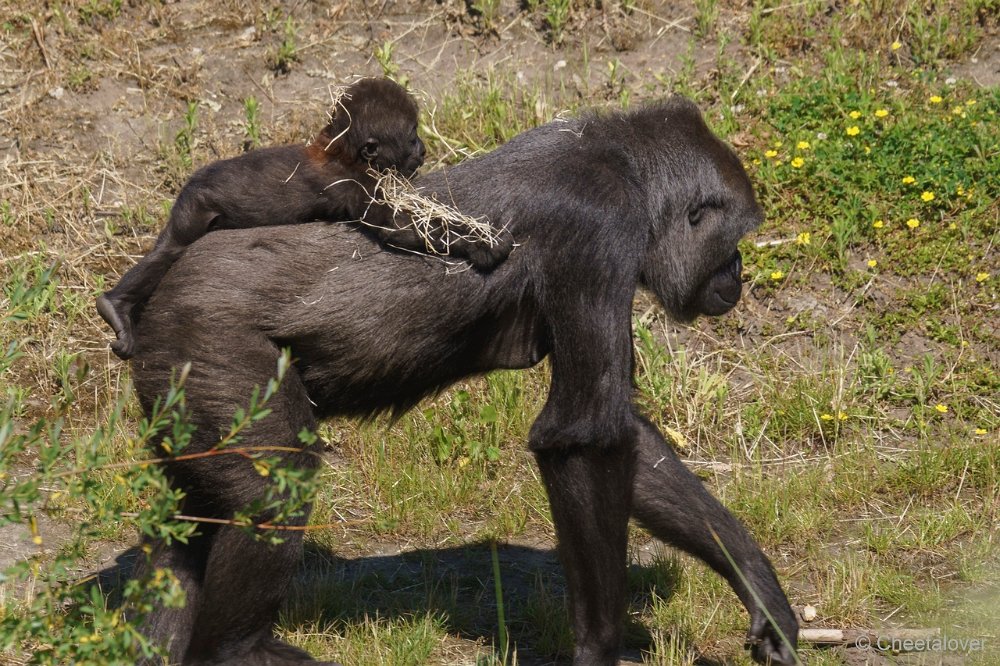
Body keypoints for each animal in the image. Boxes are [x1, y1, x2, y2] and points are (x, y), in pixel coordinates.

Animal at [96, 77, 512, 358]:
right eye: (411, 137)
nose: (422, 149)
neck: (341, 150)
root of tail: (193, 182)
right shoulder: (354, 185)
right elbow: (399, 229)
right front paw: (480, 244)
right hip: (197, 204)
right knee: (172, 251)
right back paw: (115, 307)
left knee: (167, 251)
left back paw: (115, 305)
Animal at [127, 94, 796, 664]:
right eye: (732, 242)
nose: (738, 274)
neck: (627, 166)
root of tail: (154, 297)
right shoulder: (601, 226)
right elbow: (583, 437)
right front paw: (601, 646)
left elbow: (621, 436)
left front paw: (756, 583)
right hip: (204, 336)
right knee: (273, 492)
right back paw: (235, 651)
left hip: (173, 381)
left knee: (189, 523)